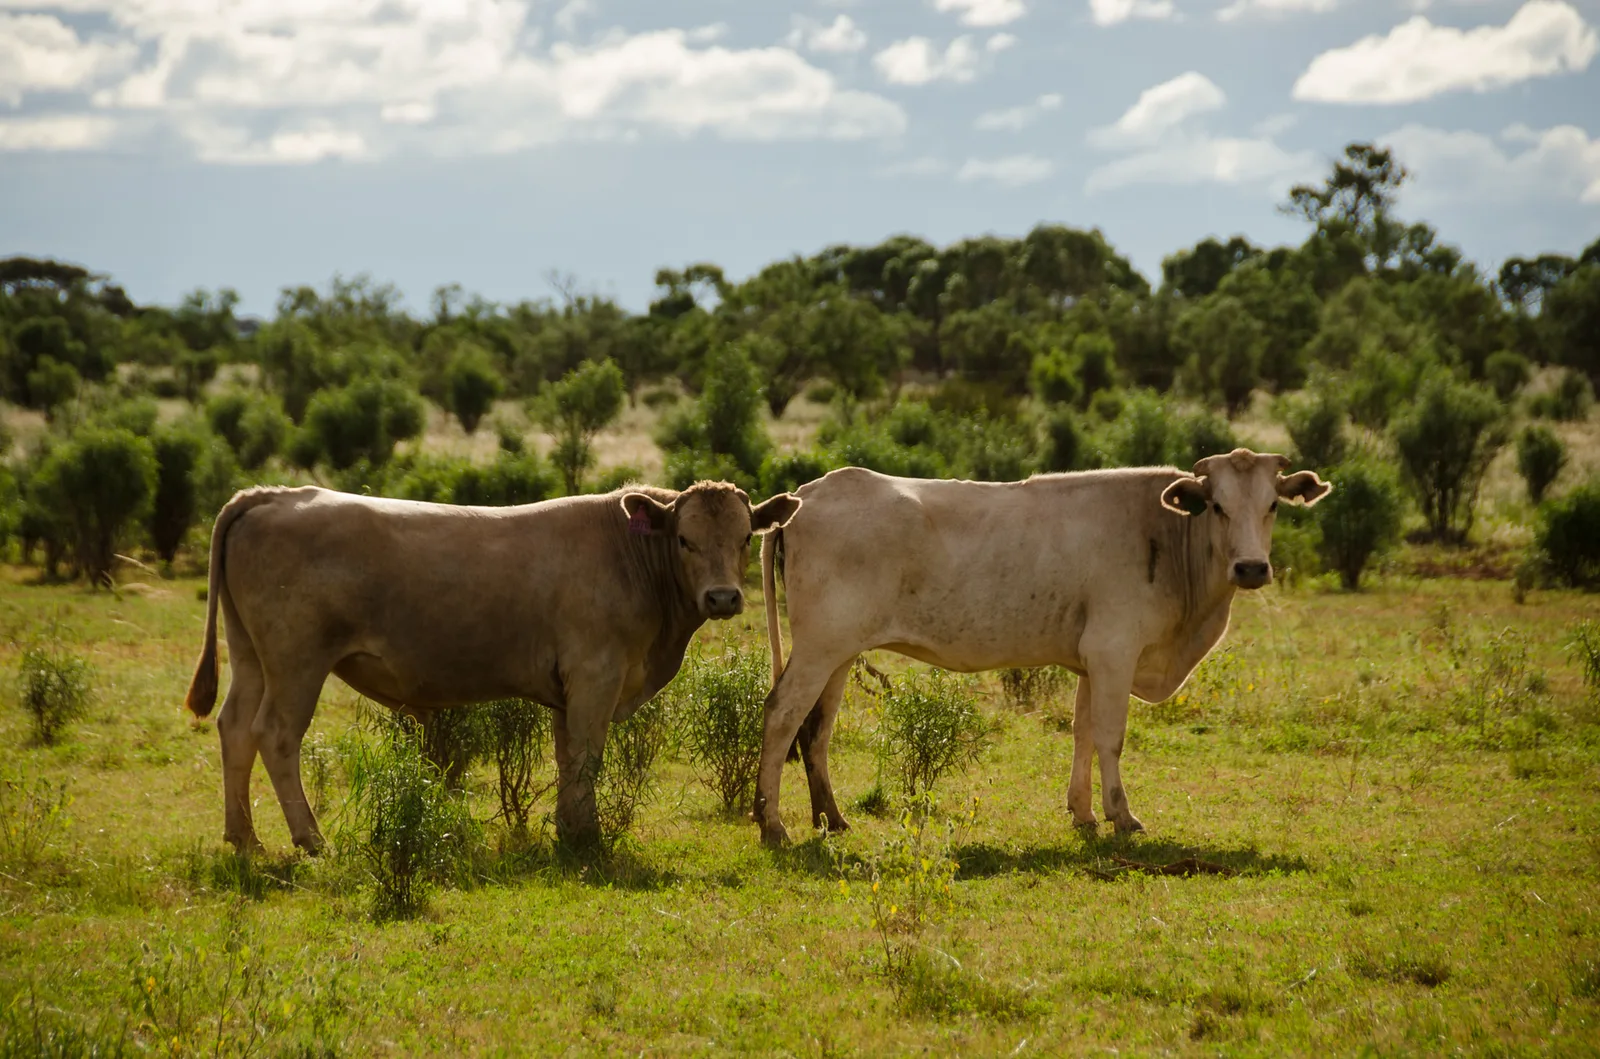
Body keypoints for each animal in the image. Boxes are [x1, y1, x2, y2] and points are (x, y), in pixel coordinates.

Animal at [184, 481, 802, 853]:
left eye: (743, 538)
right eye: (684, 539)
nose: (723, 598)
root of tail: (275, 495)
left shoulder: (568, 690)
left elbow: (569, 759)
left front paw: (569, 831)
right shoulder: (595, 676)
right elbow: (588, 759)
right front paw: (588, 839)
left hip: (251, 656)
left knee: (234, 729)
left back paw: (244, 838)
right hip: (296, 663)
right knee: (275, 735)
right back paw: (310, 839)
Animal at [754, 449, 1331, 847]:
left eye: (1273, 504)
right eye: (1216, 506)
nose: (1251, 567)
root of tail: (809, 494)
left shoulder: (1091, 660)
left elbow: (1082, 732)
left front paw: (1084, 812)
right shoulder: (1115, 650)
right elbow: (1111, 737)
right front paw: (1122, 815)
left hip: (839, 652)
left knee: (816, 729)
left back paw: (831, 819)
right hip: (819, 647)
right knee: (782, 714)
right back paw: (772, 823)